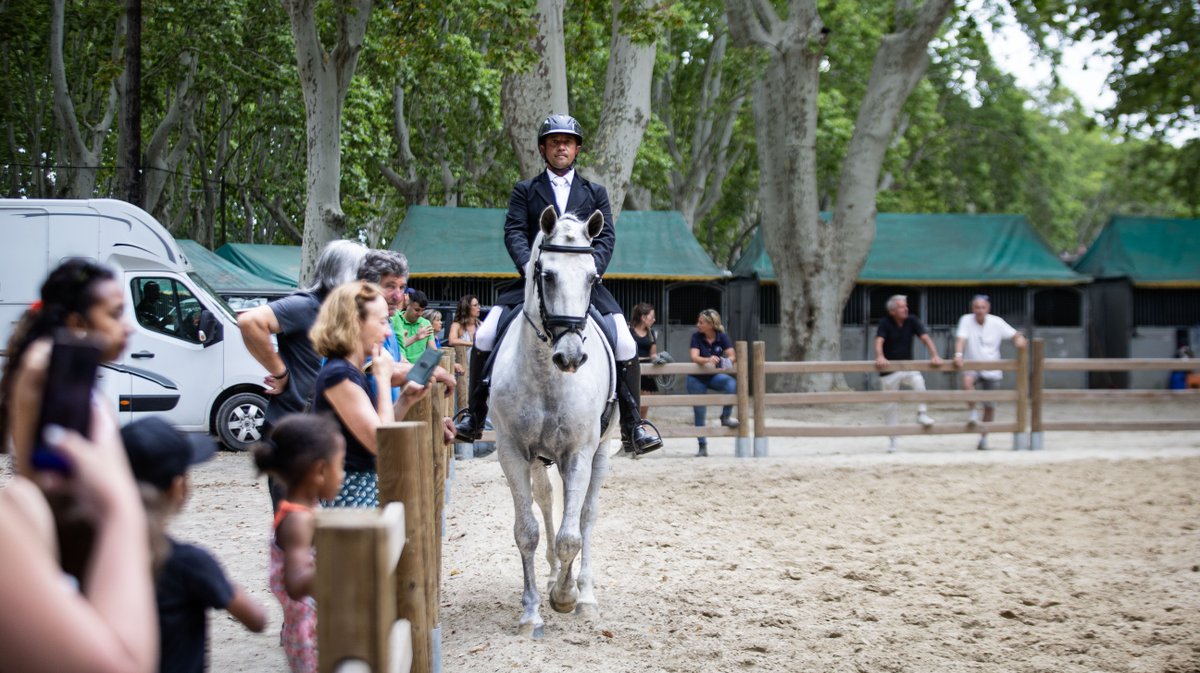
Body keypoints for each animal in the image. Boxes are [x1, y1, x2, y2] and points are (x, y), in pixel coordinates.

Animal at [489, 205, 619, 633]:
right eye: (546, 275)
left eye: (593, 277)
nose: (571, 357)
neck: (548, 375)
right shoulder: (512, 452)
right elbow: (527, 531)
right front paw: (531, 610)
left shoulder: (579, 452)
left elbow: (571, 535)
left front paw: (566, 597)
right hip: (537, 458)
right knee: (546, 503)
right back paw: (550, 576)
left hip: (602, 452)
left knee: (587, 516)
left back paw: (586, 593)